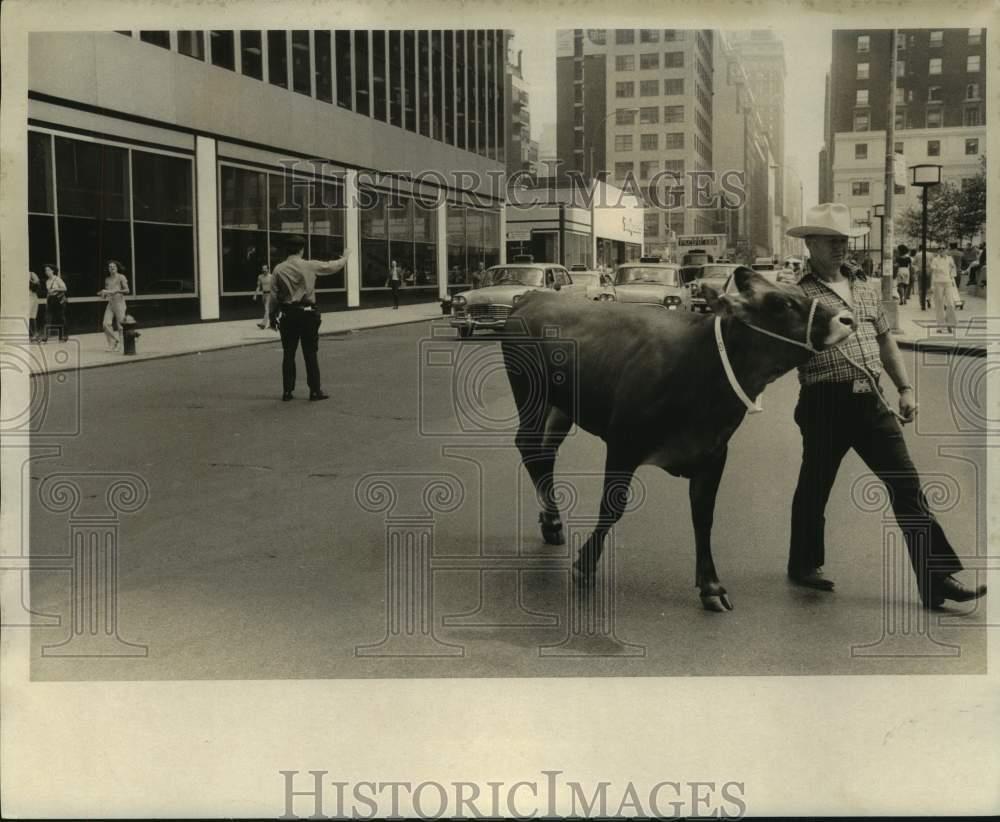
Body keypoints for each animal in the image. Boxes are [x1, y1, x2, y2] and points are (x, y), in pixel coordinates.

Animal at [500, 268, 852, 612]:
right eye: (780, 303)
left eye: (799, 292)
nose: (846, 319)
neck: (701, 366)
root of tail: (533, 297)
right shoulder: (623, 443)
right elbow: (611, 507)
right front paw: (585, 565)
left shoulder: (714, 453)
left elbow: (703, 515)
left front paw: (711, 586)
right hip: (529, 394)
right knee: (530, 447)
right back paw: (553, 523)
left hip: (561, 407)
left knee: (546, 453)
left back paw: (551, 520)